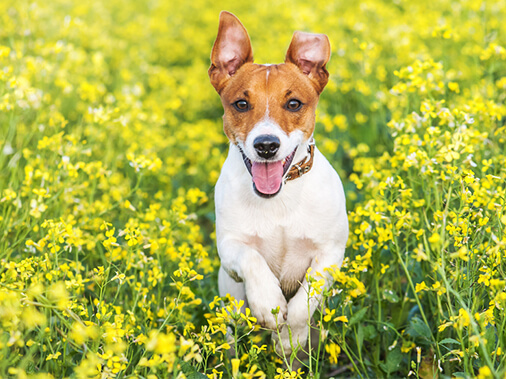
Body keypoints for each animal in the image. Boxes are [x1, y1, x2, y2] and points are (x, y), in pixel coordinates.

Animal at [209, 11, 348, 360]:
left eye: (294, 104)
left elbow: (305, 300)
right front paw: (268, 304)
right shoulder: (229, 248)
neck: (278, 199)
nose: (266, 145)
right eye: (241, 104)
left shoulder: (330, 254)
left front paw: (289, 338)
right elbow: (252, 260)